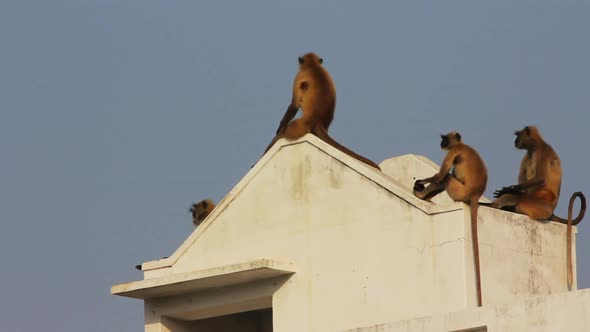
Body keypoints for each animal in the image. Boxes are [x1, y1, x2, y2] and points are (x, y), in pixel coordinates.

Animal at [414, 131, 488, 308]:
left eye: (445, 138)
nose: (441, 143)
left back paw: (420, 195)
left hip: (459, 191)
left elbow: (440, 176)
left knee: (446, 178)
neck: (462, 145)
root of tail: (475, 194)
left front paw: (420, 182)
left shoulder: (453, 152)